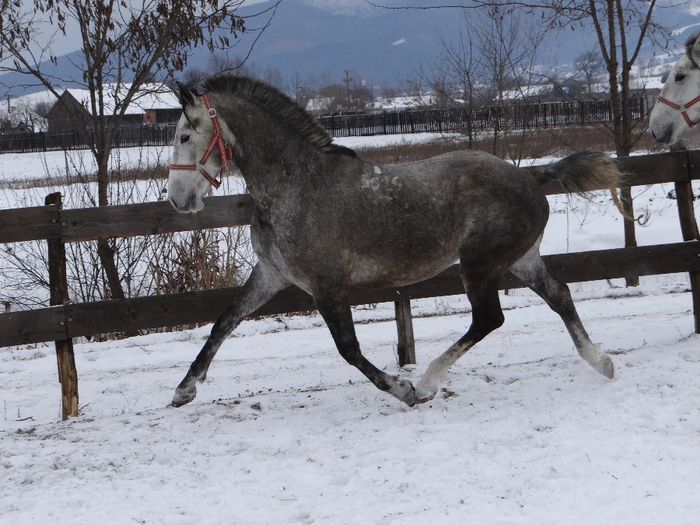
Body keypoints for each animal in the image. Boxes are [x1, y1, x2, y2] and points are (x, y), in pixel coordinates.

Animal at [167, 75, 616, 408]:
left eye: (185, 136)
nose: (177, 199)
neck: (296, 186)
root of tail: (529, 175)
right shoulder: (272, 275)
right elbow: (225, 320)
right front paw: (184, 390)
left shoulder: (327, 287)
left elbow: (348, 349)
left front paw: (404, 390)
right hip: (520, 259)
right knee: (559, 294)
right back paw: (602, 362)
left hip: (480, 264)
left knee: (488, 318)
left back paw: (429, 381)